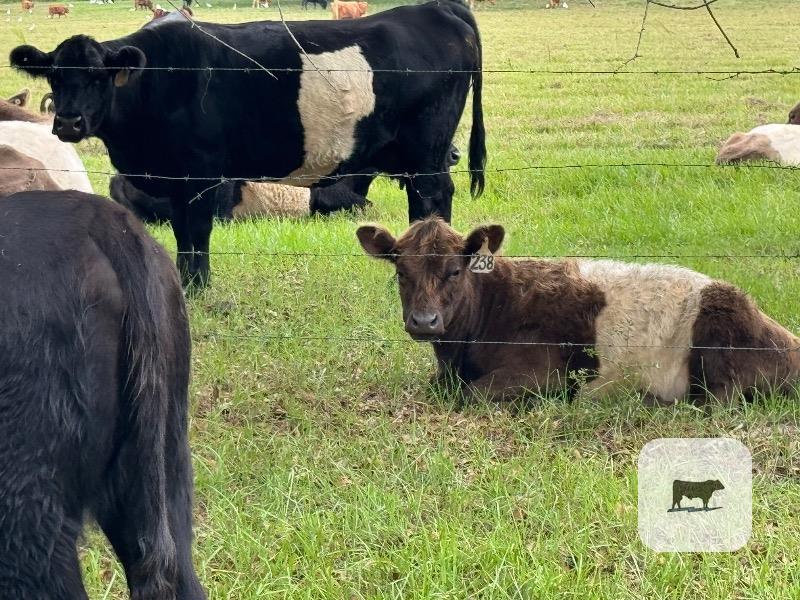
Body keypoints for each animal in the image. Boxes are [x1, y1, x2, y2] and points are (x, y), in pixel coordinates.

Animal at [10, 0, 486, 290]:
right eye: (55, 76)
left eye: (98, 77)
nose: (68, 122)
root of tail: (436, 8)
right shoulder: (177, 178)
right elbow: (183, 234)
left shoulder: (201, 175)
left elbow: (197, 232)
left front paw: (197, 287)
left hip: (427, 153)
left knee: (433, 199)